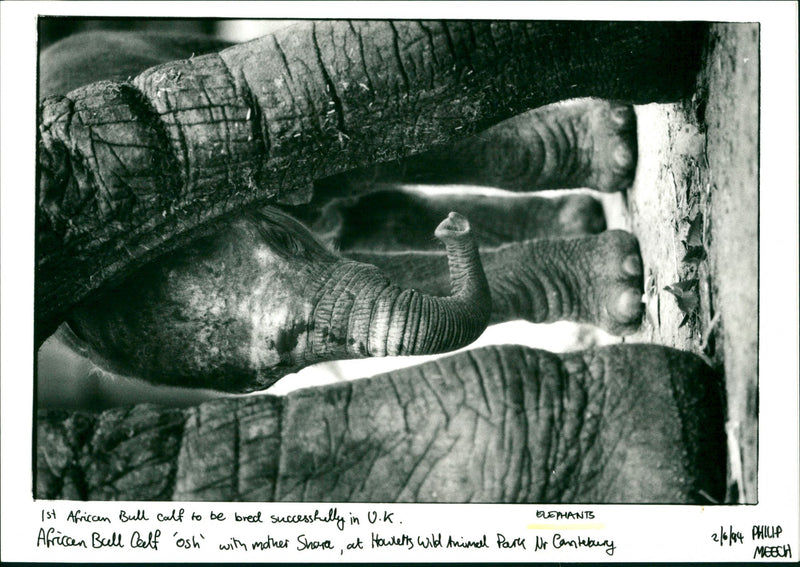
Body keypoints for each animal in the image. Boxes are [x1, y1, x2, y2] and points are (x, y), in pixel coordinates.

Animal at [35, 20, 725, 503]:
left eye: (283, 241)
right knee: (379, 215)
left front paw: (613, 160)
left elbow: (402, 159)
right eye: (274, 363)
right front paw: (620, 278)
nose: (455, 230)